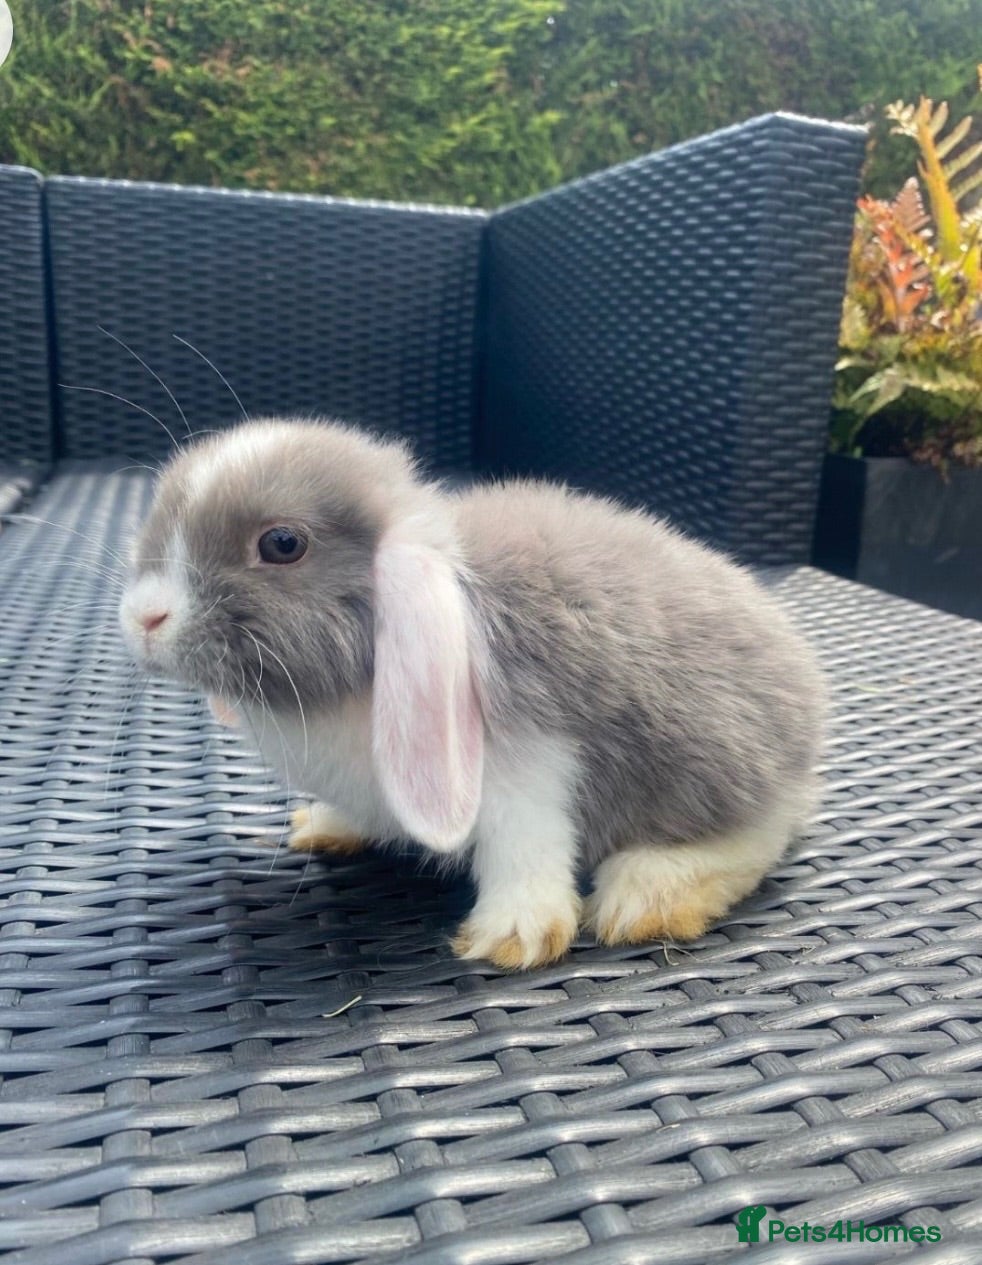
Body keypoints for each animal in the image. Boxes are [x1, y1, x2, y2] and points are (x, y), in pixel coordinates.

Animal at [119, 417, 826, 969]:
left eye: (283, 544)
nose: (143, 616)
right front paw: (323, 825)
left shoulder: (531, 764)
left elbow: (526, 843)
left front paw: (511, 936)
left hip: (717, 769)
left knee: (756, 837)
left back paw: (646, 897)